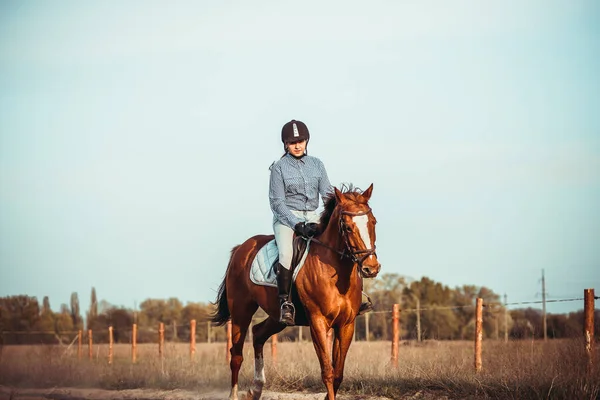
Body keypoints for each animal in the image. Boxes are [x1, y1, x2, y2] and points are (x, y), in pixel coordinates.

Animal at [211, 184, 380, 400]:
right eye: (348, 227)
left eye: (373, 222)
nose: (371, 268)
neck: (335, 273)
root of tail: (242, 248)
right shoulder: (318, 322)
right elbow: (327, 371)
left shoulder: (346, 324)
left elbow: (338, 374)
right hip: (241, 311)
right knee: (236, 355)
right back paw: (235, 393)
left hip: (279, 316)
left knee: (258, 334)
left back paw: (256, 389)